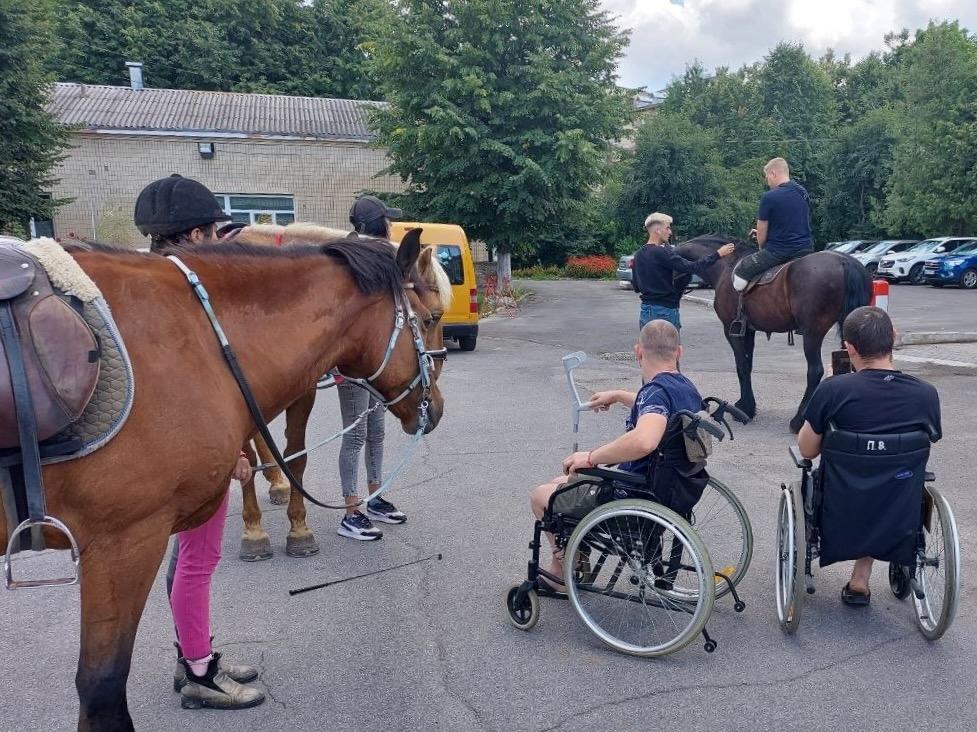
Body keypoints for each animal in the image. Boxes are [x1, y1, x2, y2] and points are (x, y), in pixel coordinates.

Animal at [224, 223, 450, 560]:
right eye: (431, 317)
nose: (435, 403)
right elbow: (247, 461)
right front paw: (254, 530)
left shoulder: (301, 391)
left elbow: (296, 456)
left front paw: (298, 528)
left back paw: (277, 483)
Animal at [672, 234, 868, 432]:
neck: (725, 266)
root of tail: (844, 261)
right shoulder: (747, 331)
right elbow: (748, 365)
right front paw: (746, 405)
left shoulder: (731, 330)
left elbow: (741, 366)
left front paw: (745, 410)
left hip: (813, 332)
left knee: (815, 371)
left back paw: (798, 420)